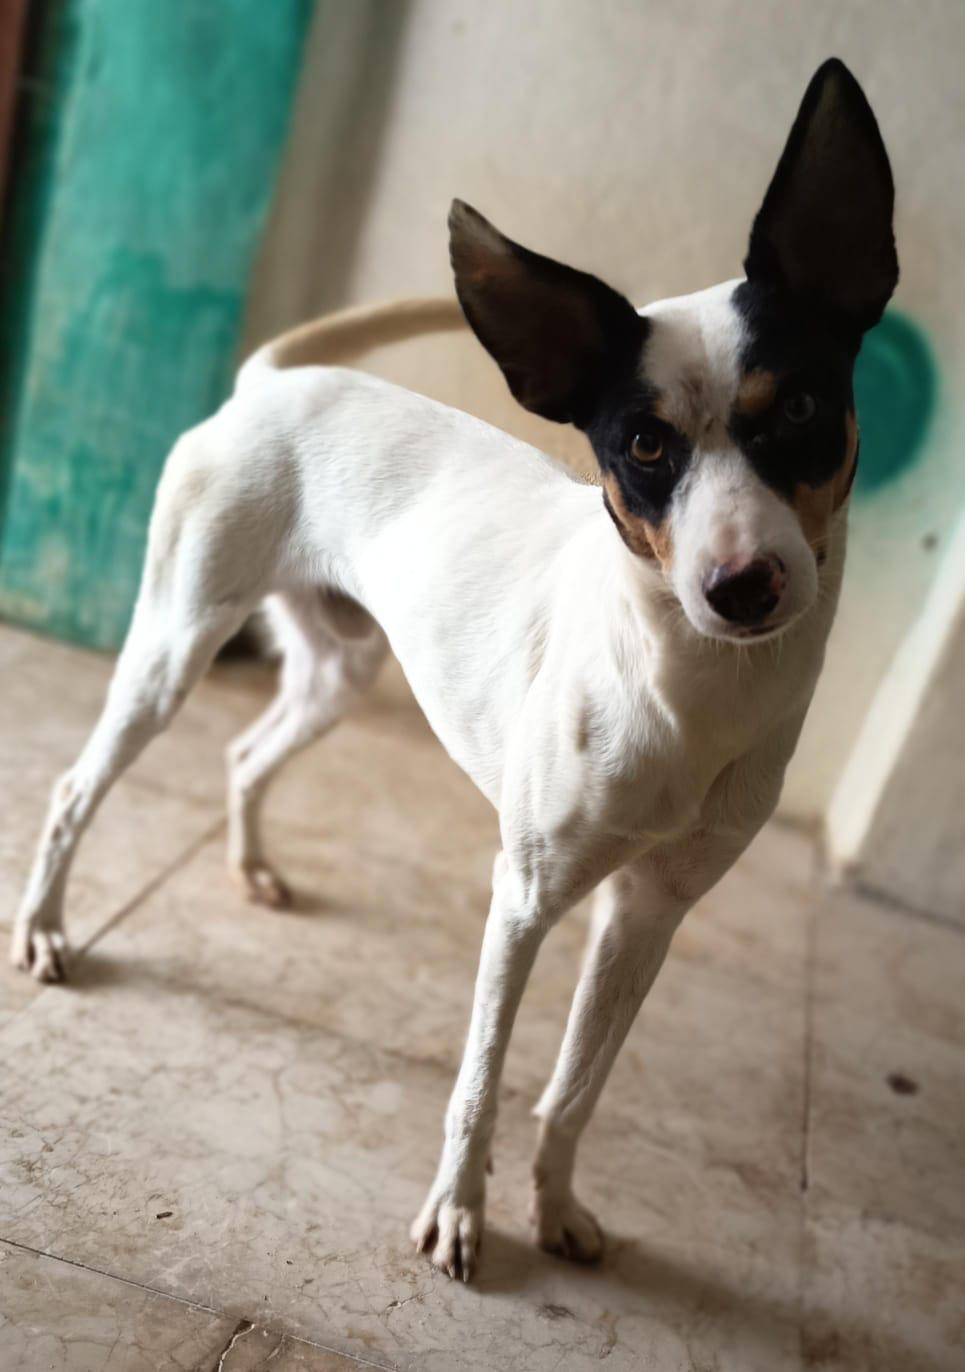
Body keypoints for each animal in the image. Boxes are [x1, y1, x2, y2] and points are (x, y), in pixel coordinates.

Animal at [11, 58, 897, 1281]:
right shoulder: (522, 900)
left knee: (244, 752)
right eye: (643, 447)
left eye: (802, 408)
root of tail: (271, 382)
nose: (742, 588)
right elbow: (482, 1082)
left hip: (336, 675)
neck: (688, 687)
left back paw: (251, 868)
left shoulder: (646, 917)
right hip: (174, 647)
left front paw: (555, 1204)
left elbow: (573, 1091)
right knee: (71, 787)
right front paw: (458, 1213)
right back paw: (47, 928)